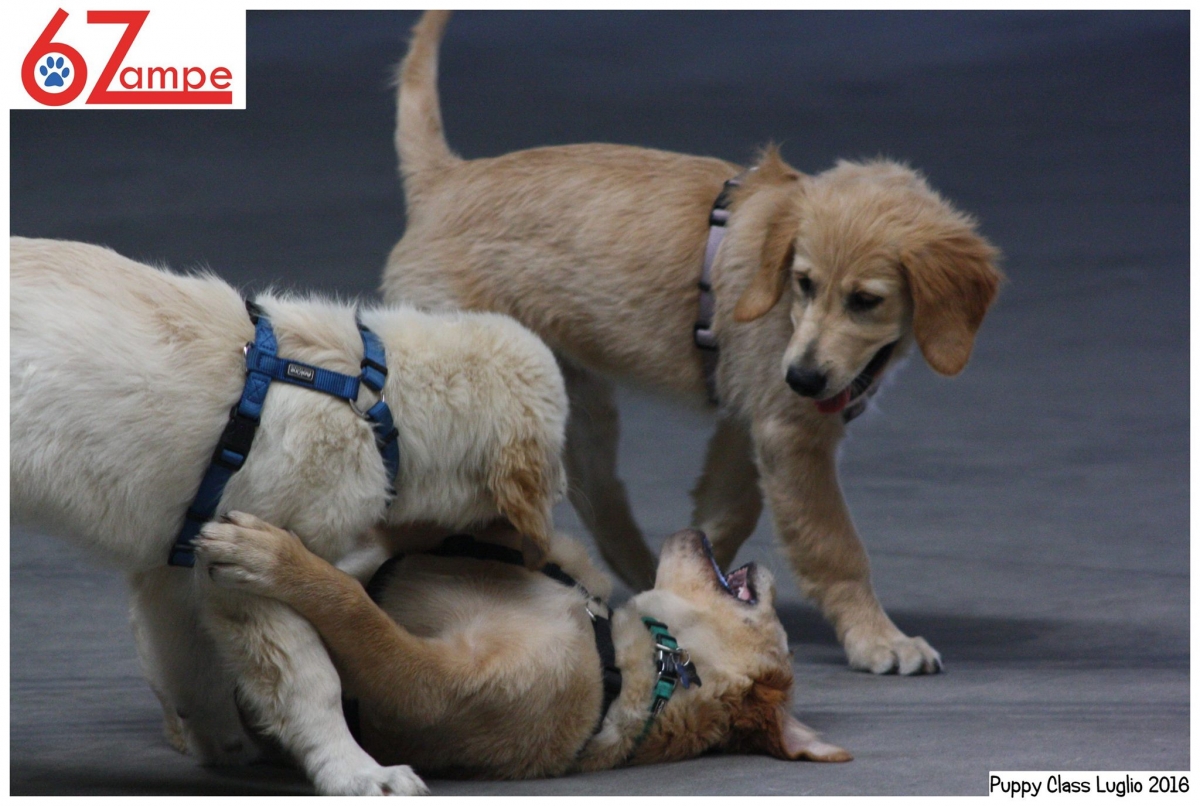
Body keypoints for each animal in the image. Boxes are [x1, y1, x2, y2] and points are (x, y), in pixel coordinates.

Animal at [9, 236, 568, 796]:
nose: (563, 490)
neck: (373, 401)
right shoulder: (250, 565)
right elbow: (310, 679)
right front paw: (358, 772)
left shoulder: (176, 564)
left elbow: (191, 666)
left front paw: (225, 745)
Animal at [384, 14, 1003, 681]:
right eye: (805, 284)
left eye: (866, 300)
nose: (803, 378)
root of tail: (444, 181)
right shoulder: (791, 430)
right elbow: (834, 544)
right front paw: (879, 638)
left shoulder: (751, 423)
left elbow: (723, 515)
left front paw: (694, 591)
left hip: (577, 404)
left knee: (598, 496)